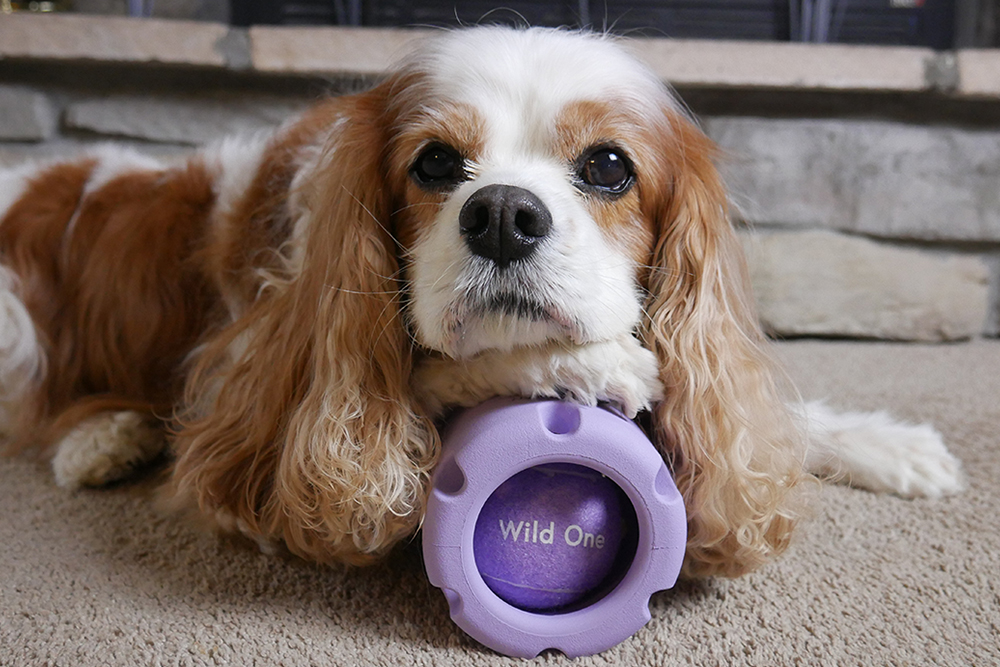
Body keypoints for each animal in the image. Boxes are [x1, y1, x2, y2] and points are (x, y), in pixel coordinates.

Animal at [0, 26, 960, 580]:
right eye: (433, 162)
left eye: (609, 165)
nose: (501, 211)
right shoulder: (260, 401)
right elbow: (428, 374)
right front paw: (586, 365)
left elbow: (753, 419)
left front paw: (887, 444)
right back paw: (99, 437)